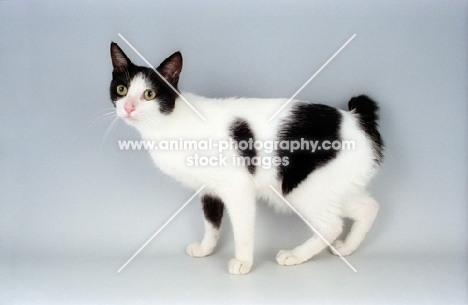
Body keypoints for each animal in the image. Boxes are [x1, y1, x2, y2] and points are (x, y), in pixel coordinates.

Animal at [109, 42, 384, 274]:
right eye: (122, 90)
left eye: (149, 94)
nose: (128, 108)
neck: (168, 123)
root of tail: (356, 119)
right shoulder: (209, 189)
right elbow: (211, 223)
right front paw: (206, 249)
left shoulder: (237, 187)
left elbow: (242, 229)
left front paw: (243, 262)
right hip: (329, 187)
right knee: (368, 207)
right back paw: (347, 247)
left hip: (300, 189)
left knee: (331, 225)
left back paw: (295, 255)